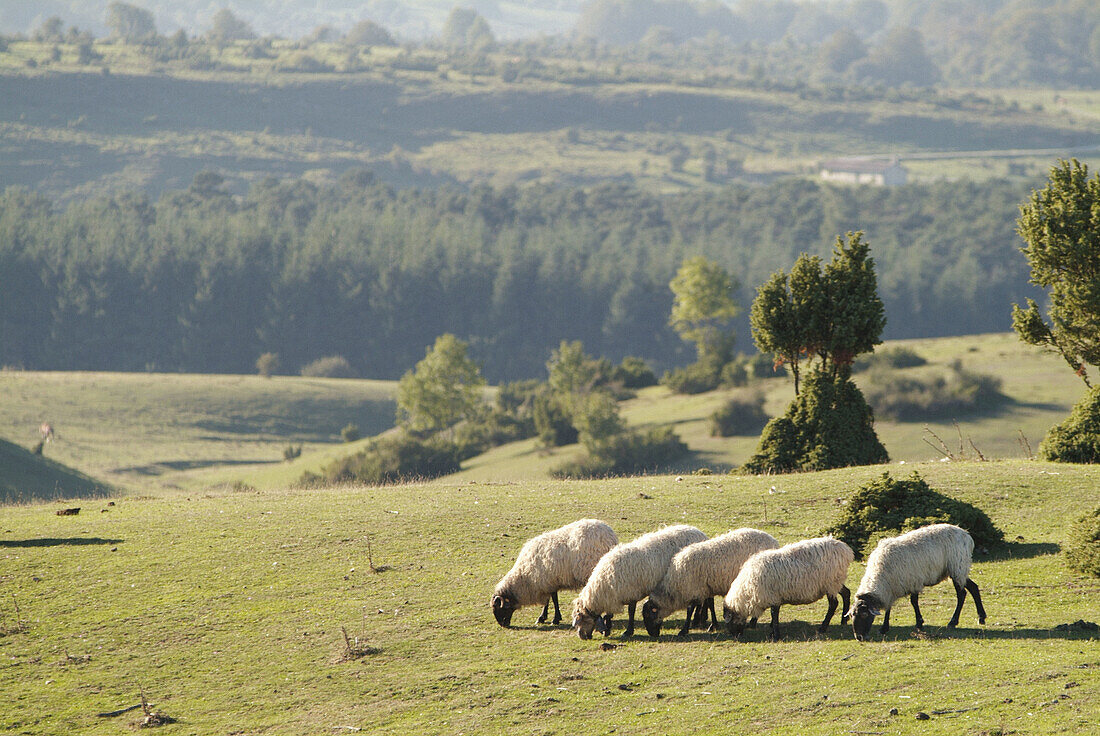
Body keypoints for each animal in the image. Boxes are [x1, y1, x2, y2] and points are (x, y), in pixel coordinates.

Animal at [492, 517, 620, 624]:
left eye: (499, 608)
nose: (502, 625)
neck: (524, 576)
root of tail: (611, 536)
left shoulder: (547, 581)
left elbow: (553, 600)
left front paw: (553, 618)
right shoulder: (548, 582)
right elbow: (551, 599)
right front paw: (544, 617)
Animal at [572, 521, 708, 638]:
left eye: (581, 619)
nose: (581, 636)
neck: (604, 583)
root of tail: (700, 533)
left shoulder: (631, 592)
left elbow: (630, 611)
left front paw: (628, 631)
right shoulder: (616, 596)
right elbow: (610, 614)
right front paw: (609, 628)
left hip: (694, 579)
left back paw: (698, 620)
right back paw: (699, 620)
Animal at [638, 528, 783, 638]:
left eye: (648, 615)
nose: (653, 635)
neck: (675, 586)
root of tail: (773, 541)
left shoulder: (695, 589)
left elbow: (690, 609)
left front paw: (684, 630)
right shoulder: (707, 588)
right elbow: (710, 604)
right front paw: (713, 625)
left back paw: (754, 622)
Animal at [849, 521, 990, 638]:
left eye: (864, 614)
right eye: (851, 615)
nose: (859, 637)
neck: (880, 574)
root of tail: (966, 534)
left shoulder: (913, 581)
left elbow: (914, 602)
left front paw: (919, 623)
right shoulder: (891, 588)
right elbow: (890, 607)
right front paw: (884, 628)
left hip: (957, 566)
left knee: (961, 594)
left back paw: (953, 622)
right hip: (959, 570)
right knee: (973, 587)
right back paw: (981, 617)